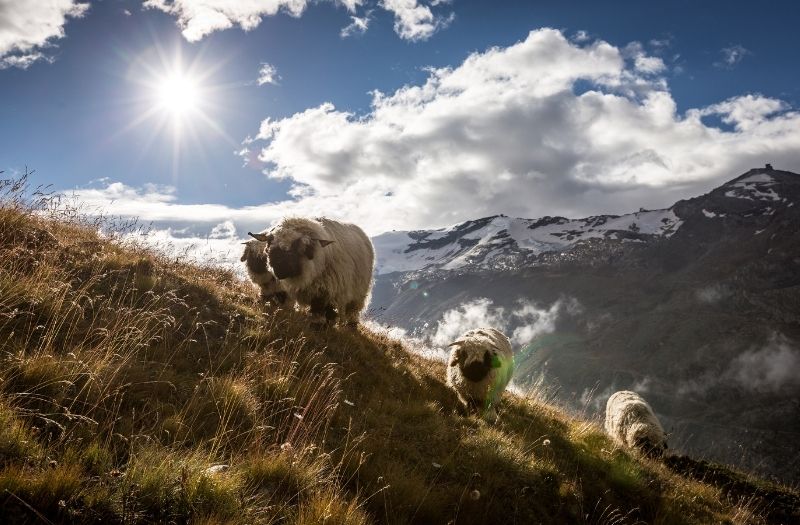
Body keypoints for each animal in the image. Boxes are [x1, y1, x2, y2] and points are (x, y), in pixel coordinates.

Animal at [247, 216, 376, 324]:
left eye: (294, 248)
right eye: (270, 245)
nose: (279, 272)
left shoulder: (324, 290)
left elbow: (318, 309)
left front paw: (317, 325)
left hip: (358, 293)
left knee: (351, 311)